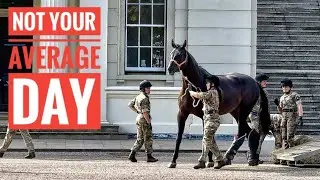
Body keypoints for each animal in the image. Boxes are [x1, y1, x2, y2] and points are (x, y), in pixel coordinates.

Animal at [168, 39, 270, 167]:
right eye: (171, 54)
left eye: (180, 54)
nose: (169, 69)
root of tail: (254, 82)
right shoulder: (182, 114)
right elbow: (179, 137)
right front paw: (173, 161)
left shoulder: (204, 116)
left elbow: (208, 138)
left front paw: (209, 160)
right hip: (236, 112)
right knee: (248, 131)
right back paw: (249, 157)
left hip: (244, 111)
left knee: (244, 131)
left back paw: (235, 157)